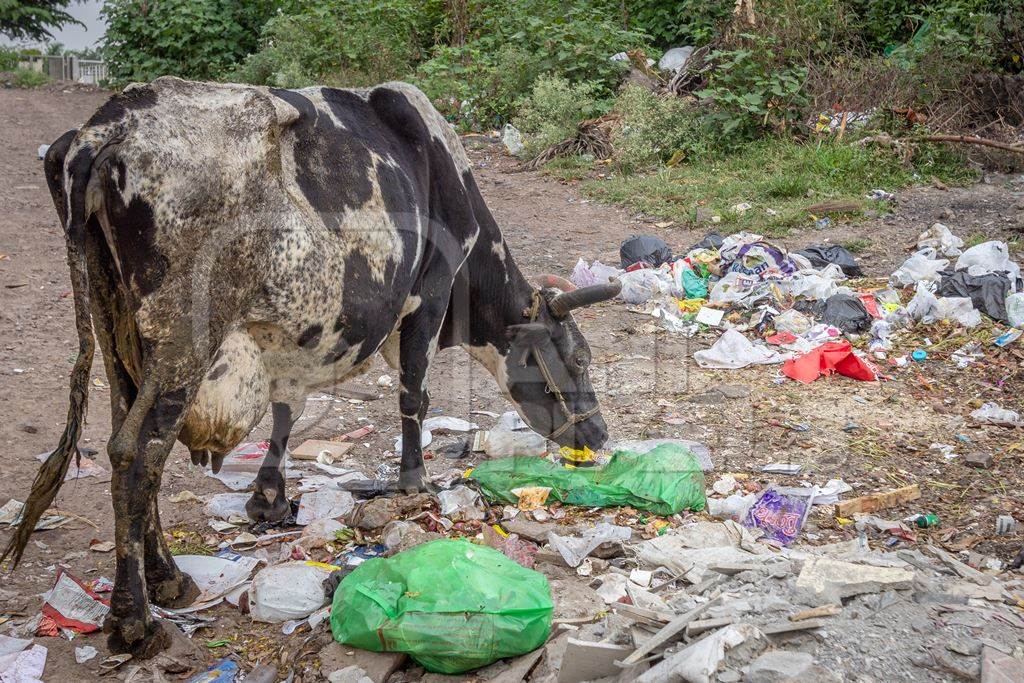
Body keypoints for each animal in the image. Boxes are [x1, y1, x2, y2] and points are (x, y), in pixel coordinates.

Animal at [4, 78, 618, 655]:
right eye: (579, 356)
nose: (599, 433)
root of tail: (106, 129)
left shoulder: (288, 343)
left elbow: (285, 412)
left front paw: (268, 498)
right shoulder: (430, 294)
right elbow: (412, 397)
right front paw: (413, 481)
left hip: (116, 330)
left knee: (119, 435)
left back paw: (163, 579)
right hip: (183, 339)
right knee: (138, 454)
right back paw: (138, 616)